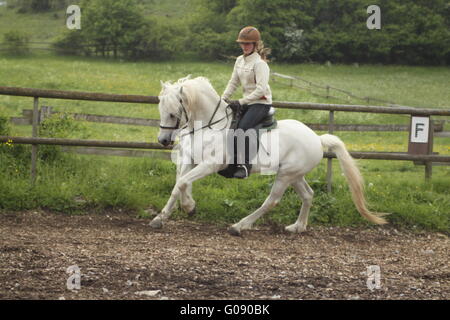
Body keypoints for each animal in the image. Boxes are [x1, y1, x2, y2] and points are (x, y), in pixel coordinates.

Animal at [150, 75, 386, 235]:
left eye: (173, 112)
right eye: (161, 109)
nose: (163, 140)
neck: (208, 125)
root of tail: (317, 139)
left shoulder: (210, 164)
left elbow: (182, 182)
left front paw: (188, 207)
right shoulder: (190, 160)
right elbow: (179, 184)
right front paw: (163, 217)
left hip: (286, 175)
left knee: (272, 200)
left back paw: (239, 226)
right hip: (294, 175)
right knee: (308, 195)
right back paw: (297, 227)